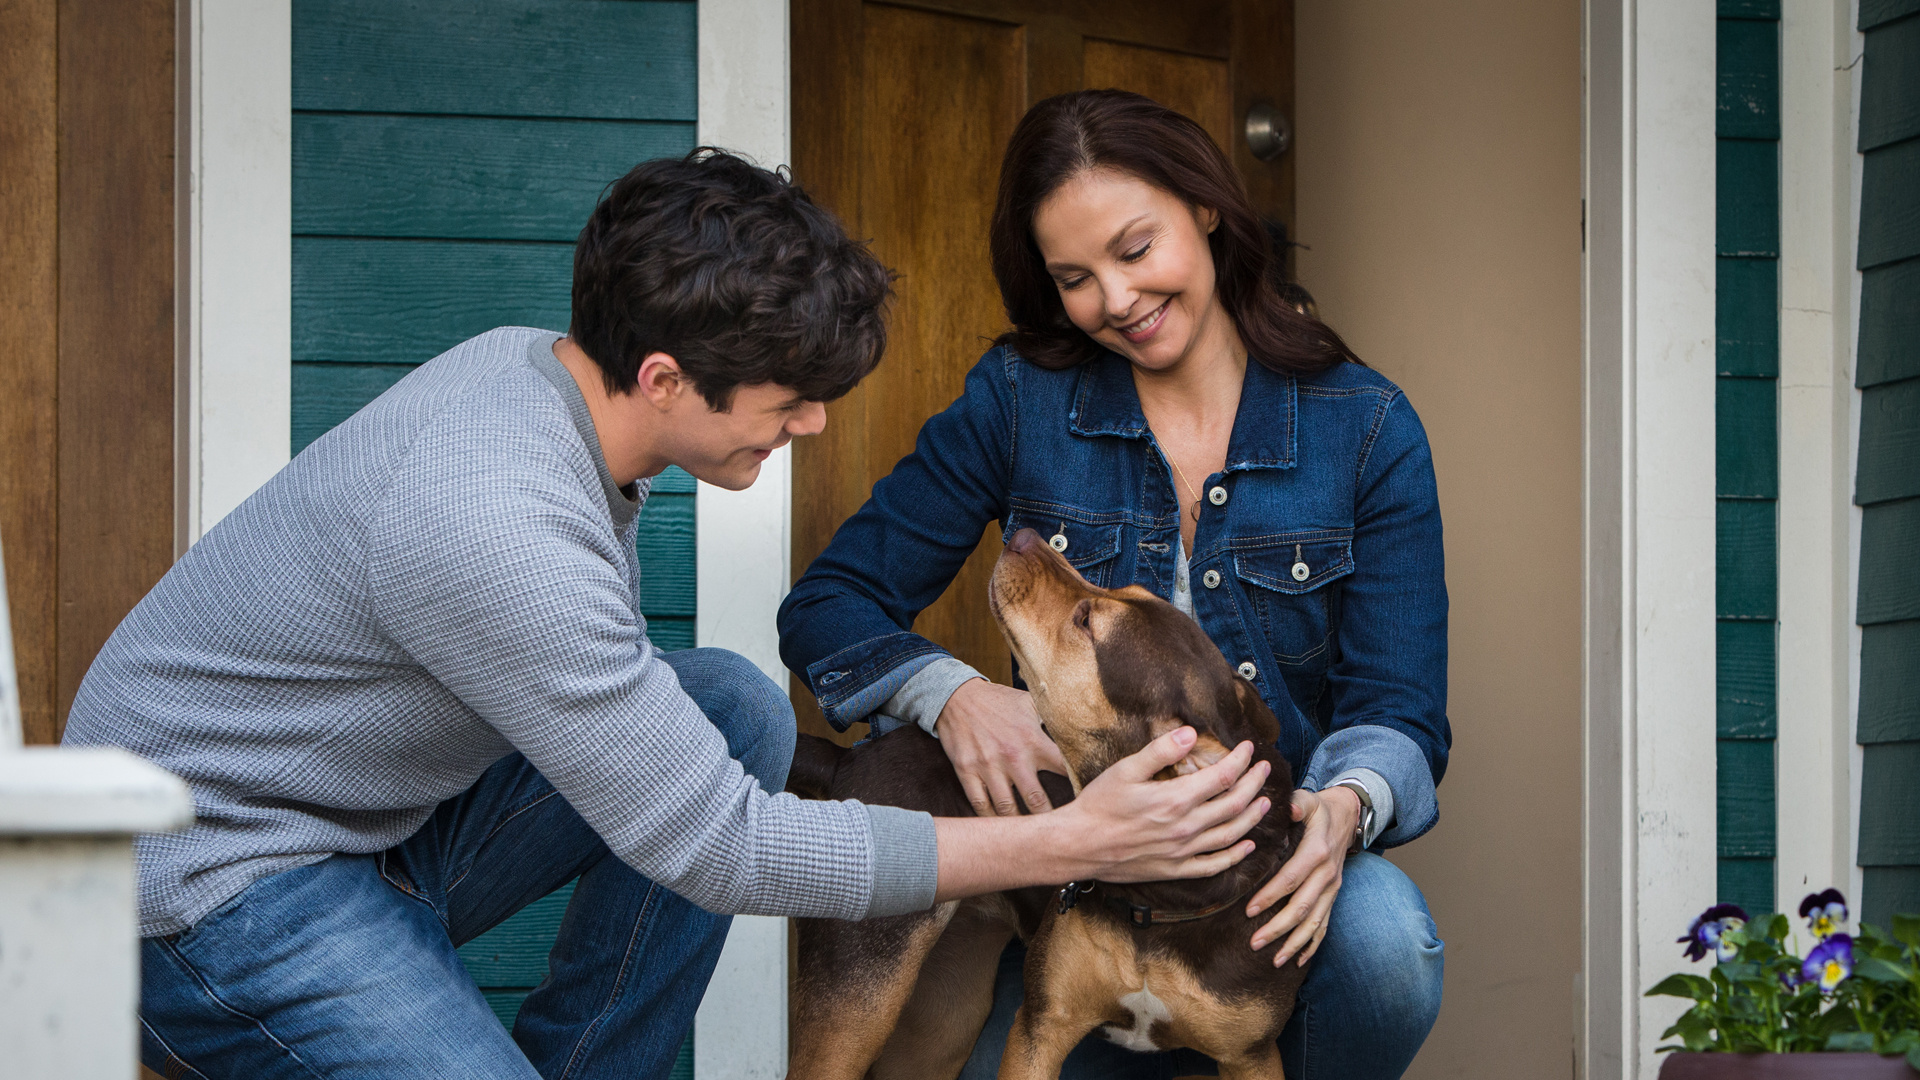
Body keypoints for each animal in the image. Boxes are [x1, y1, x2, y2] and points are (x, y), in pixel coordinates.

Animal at [779, 526, 1305, 1068]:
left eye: (1086, 621)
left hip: (942, 1019)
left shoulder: (1252, 1055)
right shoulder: (1040, 1026)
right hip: (861, 995)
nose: (1026, 537)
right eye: (1129, 590)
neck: (1158, 904)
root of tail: (849, 758)